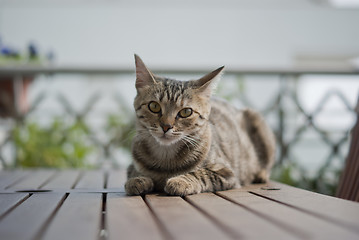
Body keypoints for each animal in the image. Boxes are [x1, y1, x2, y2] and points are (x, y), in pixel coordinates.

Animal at [124, 54, 276, 197]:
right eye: (154, 106)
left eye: (186, 112)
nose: (166, 126)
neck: (165, 156)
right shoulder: (131, 166)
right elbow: (134, 173)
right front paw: (137, 180)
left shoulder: (227, 173)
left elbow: (201, 174)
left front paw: (180, 181)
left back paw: (261, 174)